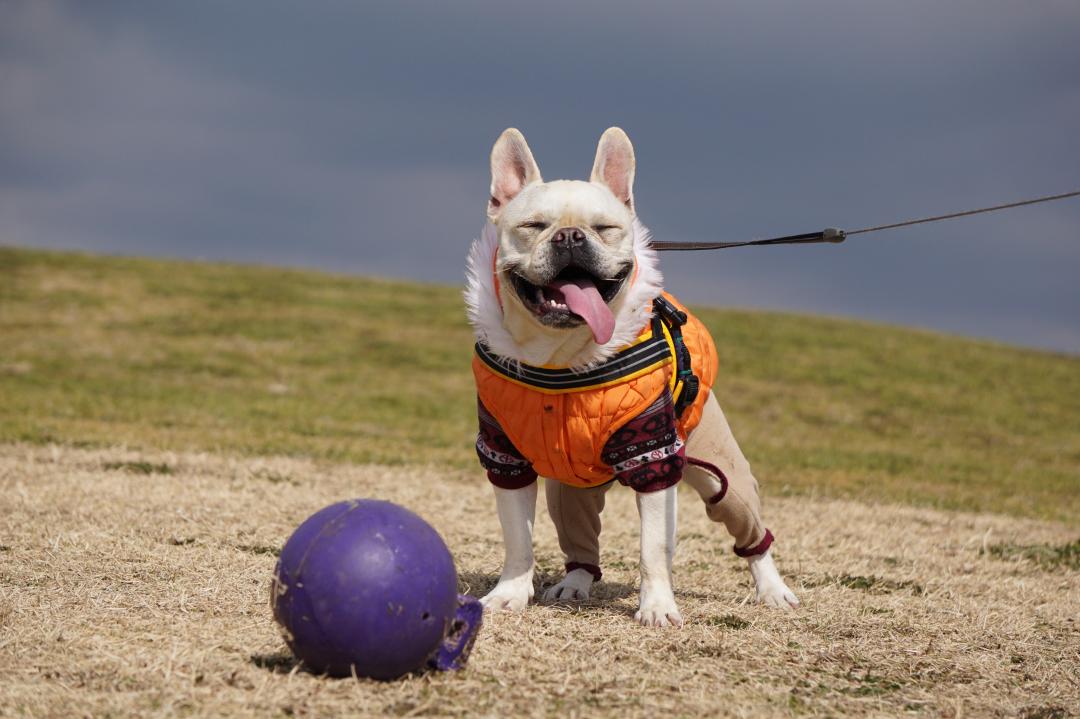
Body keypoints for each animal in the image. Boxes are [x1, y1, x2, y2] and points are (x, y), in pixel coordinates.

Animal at [460, 127, 799, 621]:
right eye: (534, 226)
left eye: (605, 228)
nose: (569, 236)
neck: (560, 358)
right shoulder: (506, 456)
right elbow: (518, 538)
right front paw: (509, 593)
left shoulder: (653, 455)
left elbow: (652, 548)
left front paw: (657, 606)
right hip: (569, 486)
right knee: (579, 533)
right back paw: (575, 582)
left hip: (722, 476)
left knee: (749, 529)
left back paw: (772, 588)